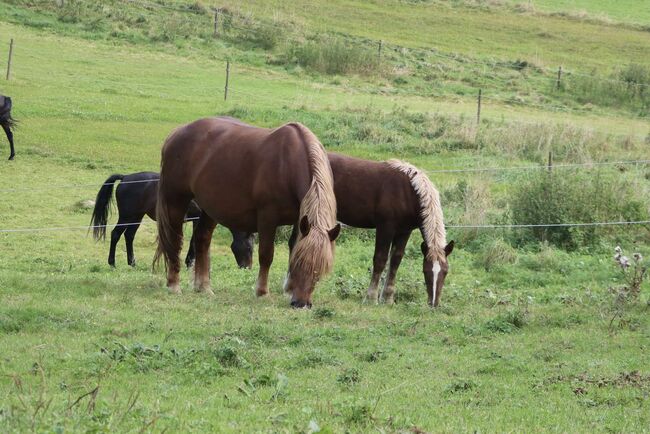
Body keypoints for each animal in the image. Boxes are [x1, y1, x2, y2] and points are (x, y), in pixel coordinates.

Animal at [91, 172, 253, 268]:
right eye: (249, 248)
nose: (246, 267)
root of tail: (125, 177)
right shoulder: (198, 219)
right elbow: (194, 240)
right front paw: (190, 262)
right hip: (127, 216)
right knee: (115, 234)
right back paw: (112, 263)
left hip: (136, 217)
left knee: (129, 236)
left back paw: (132, 263)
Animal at [155, 117, 342, 306]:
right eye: (301, 263)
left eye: (320, 269)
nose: (301, 304)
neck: (287, 164)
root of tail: (177, 133)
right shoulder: (268, 218)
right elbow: (266, 255)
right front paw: (262, 292)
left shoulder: (300, 220)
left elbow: (293, 247)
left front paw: (288, 289)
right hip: (176, 200)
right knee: (175, 240)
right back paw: (174, 285)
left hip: (210, 207)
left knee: (202, 239)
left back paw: (204, 287)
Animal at [284, 154, 450, 306]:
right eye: (426, 271)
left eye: (445, 272)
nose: (434, 303)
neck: (407, 191)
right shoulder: (385, 227)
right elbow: (380, 260)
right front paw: (371, 298)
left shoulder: (404, 231)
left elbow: (395, 260)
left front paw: (388, 298)